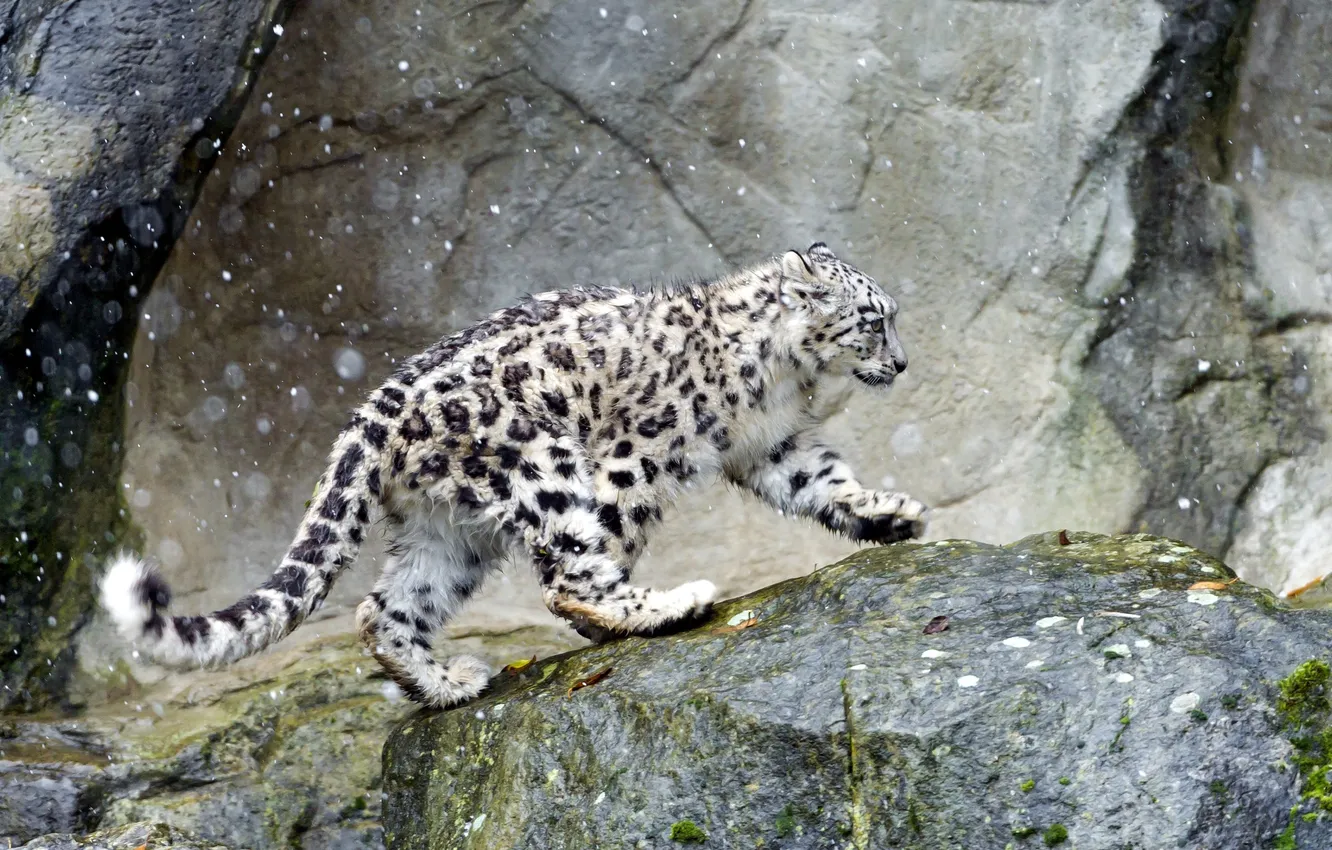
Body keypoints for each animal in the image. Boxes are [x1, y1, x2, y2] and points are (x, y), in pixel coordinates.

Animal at [101, 241, 929, 709]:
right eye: (872, 319)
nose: (902, 361)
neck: (787, 382)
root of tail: (373, 410)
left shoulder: (773, 447)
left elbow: (826, 482)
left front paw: (892, 512)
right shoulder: (636, 453)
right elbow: (608, 541)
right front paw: (610, 621)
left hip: (448, 529)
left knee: (387, 607)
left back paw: (445, 684)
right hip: (540, 462)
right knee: (566, 568)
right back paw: (669, 603)